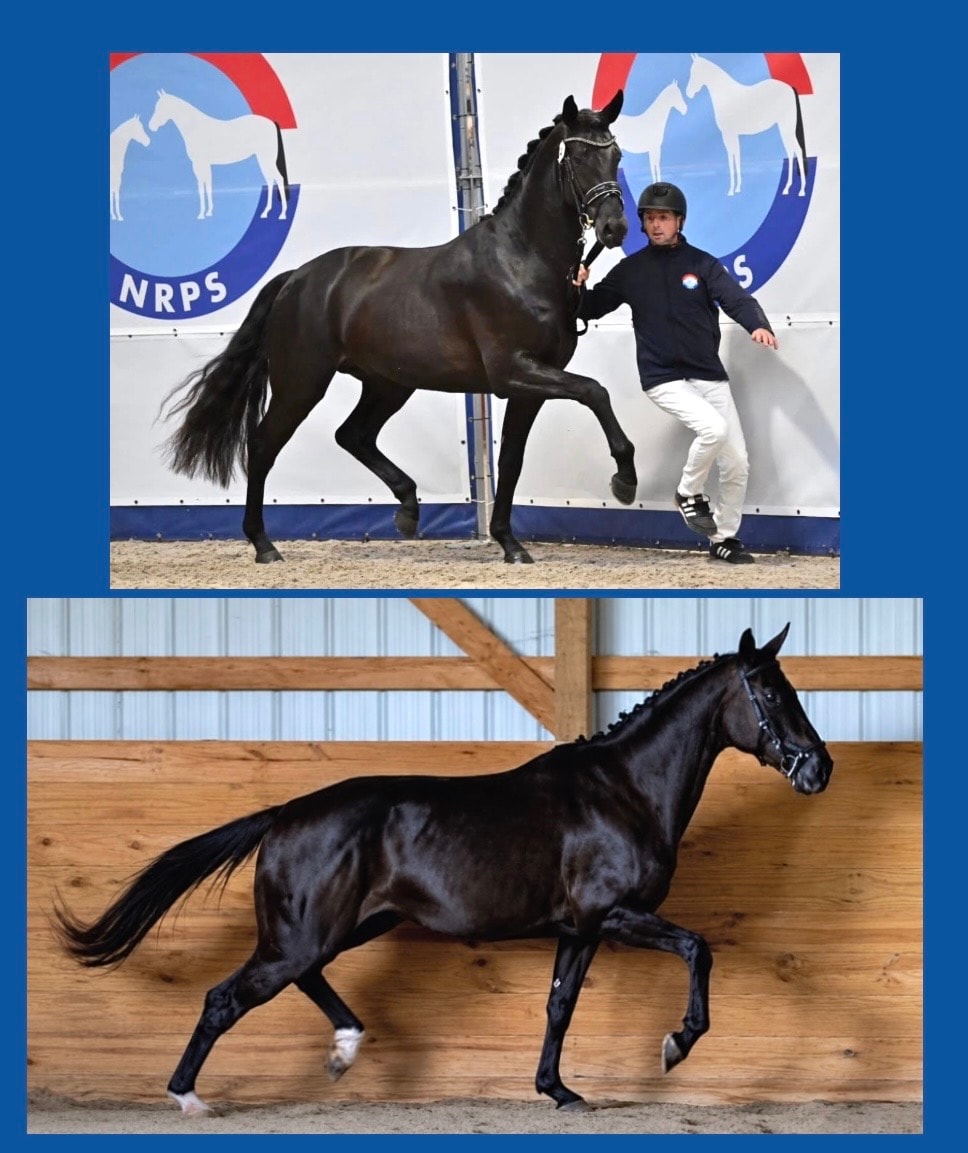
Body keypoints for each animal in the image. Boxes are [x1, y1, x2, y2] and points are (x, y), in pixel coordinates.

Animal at [53, 624, 833, 1115]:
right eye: (772, 694)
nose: (819, 768)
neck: (622, 789)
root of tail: (284, 814)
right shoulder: (613, 915)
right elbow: (698, 948)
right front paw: (675, 1044)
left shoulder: (578, 929)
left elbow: (559, 1006)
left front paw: (557, 1090)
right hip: (303, 936)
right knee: (226, 999)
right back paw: (188, 1096)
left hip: (347, 928)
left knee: (304, 980)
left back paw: (344, 1049)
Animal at [147, 90, 289, 221]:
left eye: (161, 107)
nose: (151, 126)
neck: (195, 128)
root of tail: (272, 123)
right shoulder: (205, 164)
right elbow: (208, 185)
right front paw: (209, 212)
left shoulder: (199, 164)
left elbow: (202, 186)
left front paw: (202, 214)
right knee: (270, 180)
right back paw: (265, 212)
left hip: (266, 159)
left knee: (278, 178)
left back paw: (282, 214)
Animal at [159, 92, 635, 566]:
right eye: (577, 156)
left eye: (615, 154)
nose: (614, 227)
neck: (521, 260)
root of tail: (296, 278)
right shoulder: (514, 371)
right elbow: (595, 391)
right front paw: (625, 479)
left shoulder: (530, 385)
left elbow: (512, 461)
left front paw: (510, 544)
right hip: (302, 382)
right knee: (263, 444)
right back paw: (264, 545)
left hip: (388, 384)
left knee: (352, 435)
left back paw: (407, 509)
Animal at [685, 54, 807, 197]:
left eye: (695, 71)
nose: (688, 93)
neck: (727, 97)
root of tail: (790, 88)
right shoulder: (733, 135)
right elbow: (736, 156)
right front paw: (737, 188)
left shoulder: (728, 134)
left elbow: (731, 157)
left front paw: (732, 189)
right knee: (791, 151)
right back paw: (787, 188)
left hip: (786, 128)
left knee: (796, 150)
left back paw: (801, 190)